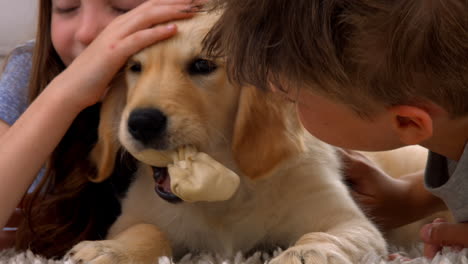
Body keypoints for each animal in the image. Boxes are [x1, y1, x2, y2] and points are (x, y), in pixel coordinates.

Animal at [66, 11, 388, 264]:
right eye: (134, 67)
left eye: (202, 65)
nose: (142, 123)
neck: (227, 191)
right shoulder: (132, 217)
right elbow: (147, 229)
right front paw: (109, 250)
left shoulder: (349, 221)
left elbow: (324, 234)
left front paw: (306, 254)